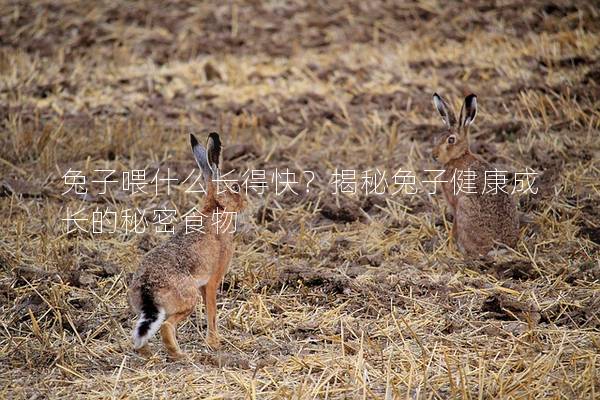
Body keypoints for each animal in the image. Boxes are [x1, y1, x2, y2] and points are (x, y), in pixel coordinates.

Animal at [127, 132, 247, 360]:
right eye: (235, 188)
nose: (245, 203)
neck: (215, 208)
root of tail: (148, 290)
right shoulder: (212, 280)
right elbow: (212, 312)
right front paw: (214, 343)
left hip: (142, 308)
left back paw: (149, 354)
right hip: (188, 300)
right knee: (166, 326)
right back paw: (180, 355)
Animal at [432, 93, 520, 256]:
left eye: (451, 140)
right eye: (437, 138)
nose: (434, 156)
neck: (459, 157)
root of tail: (498, 247)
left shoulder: (455, 203)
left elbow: (454, 226)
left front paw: (450, 241)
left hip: (465, 208)